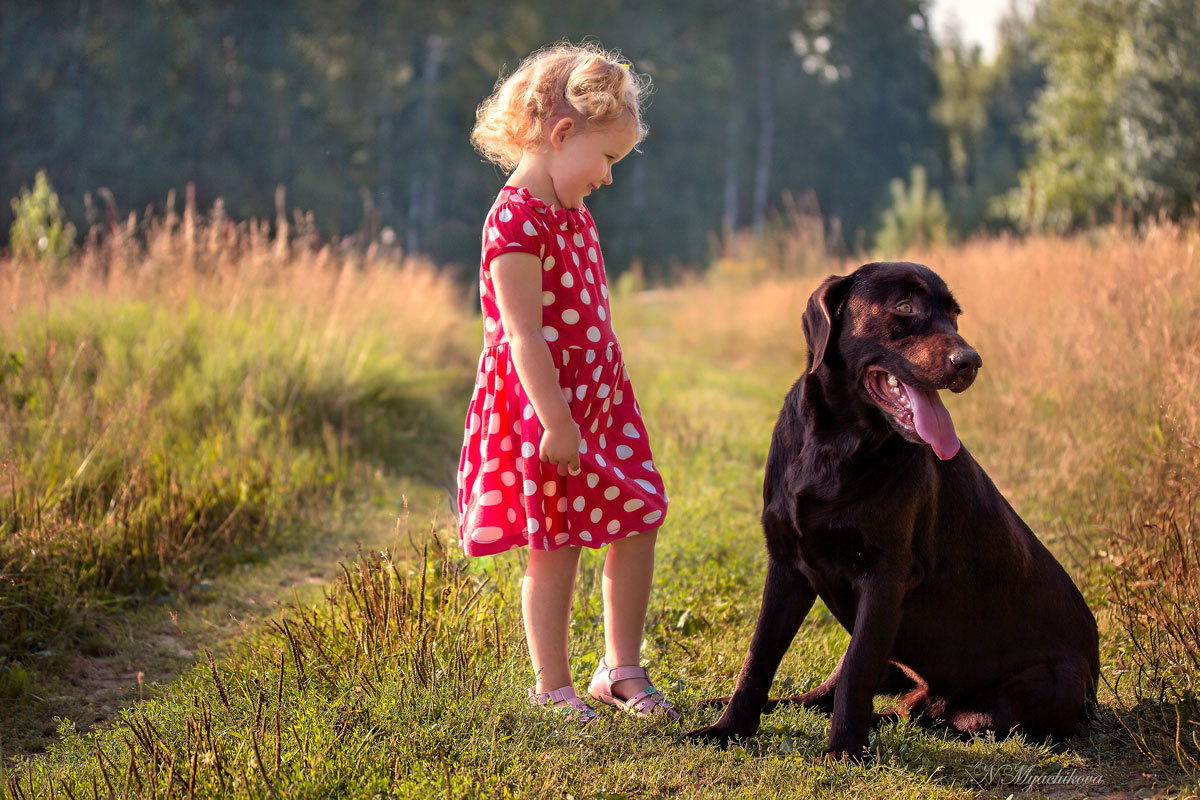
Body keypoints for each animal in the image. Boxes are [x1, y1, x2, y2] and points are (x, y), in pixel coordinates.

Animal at [691, 260, 1099, 762]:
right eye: (904, 307)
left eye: (954, 315)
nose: (970, 361)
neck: (834, 445)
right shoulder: (787, 566)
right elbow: (759, 657)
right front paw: (727, 729)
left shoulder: (885, 578)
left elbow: (856, 676)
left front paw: (843, 752)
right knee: (833, 699)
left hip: (1041, 689)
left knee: (930, 715)